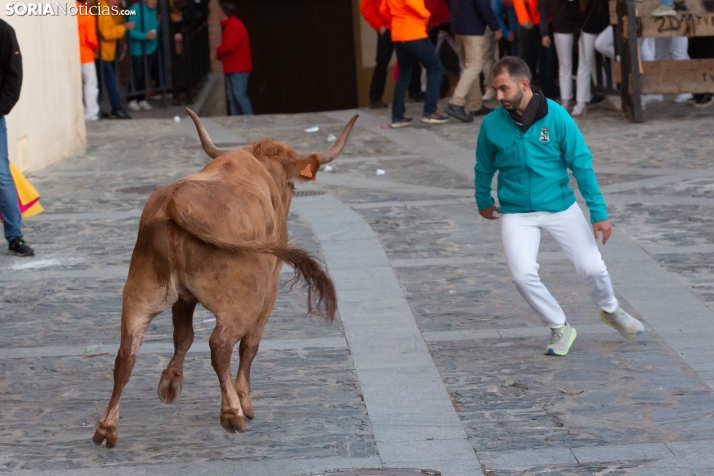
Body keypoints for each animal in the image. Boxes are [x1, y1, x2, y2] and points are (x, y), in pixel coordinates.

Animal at [93, 109, 354, 448]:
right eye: (291, 186)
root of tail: (176, 202)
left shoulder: (184, 298)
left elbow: (183, 336)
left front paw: (170, 383)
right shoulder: (270, 287)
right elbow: (250, 345)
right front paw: (244, 401)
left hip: (140, 293)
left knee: (126, 356)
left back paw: (107, 427)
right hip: (244, 300)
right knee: (221, 345)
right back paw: (233, 413)